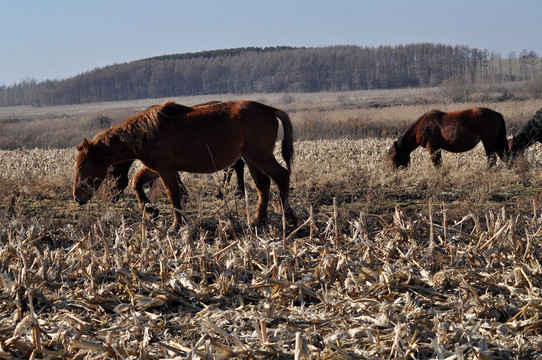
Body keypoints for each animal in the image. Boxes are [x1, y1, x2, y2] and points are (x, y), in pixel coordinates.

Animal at [74, 100, 298, 231]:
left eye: (83, 165)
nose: (78, 196)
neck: (146, 132)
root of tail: (268, 109)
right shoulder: (155, 168)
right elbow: (137, 182)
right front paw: (151, 210)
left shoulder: (165, 169)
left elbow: (173, 194)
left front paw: (176, 224)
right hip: (251, 159)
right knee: (263, 185)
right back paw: (258, 219)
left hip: (259, 156)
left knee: (281, 176)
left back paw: (288, 216)